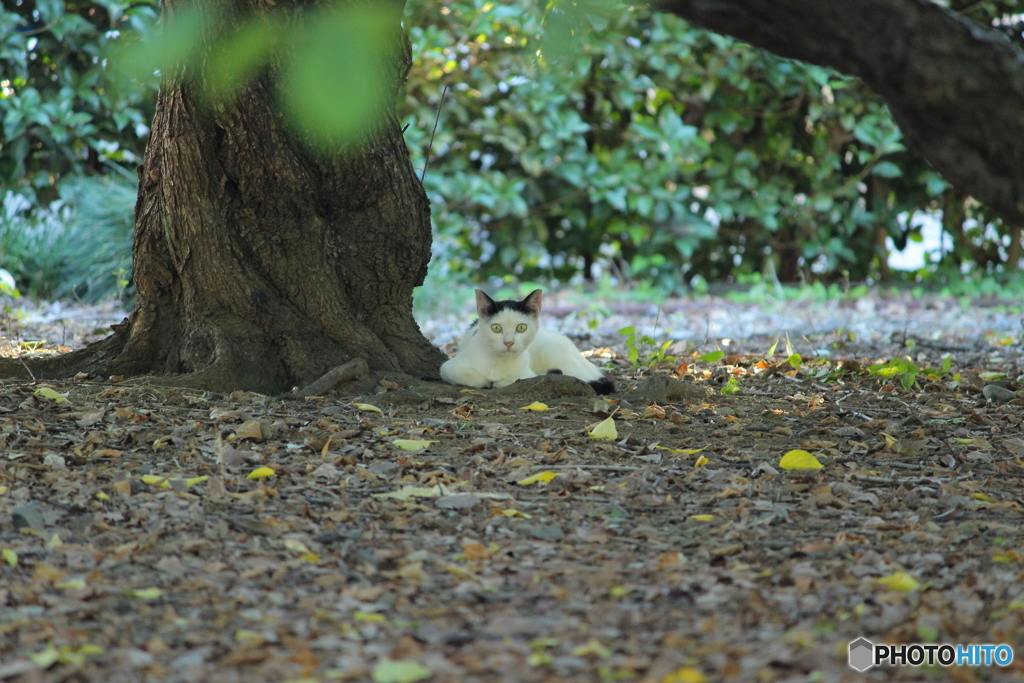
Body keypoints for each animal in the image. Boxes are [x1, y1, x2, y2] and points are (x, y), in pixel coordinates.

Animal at [436, 290, 610, 395]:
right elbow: (468, 375)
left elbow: (513, 380)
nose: (508, 342)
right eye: (496, 328)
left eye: (521, 327)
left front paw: (498, 381)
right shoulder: (449, 367)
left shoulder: (526, 374)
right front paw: (487, 381)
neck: (500, 363)